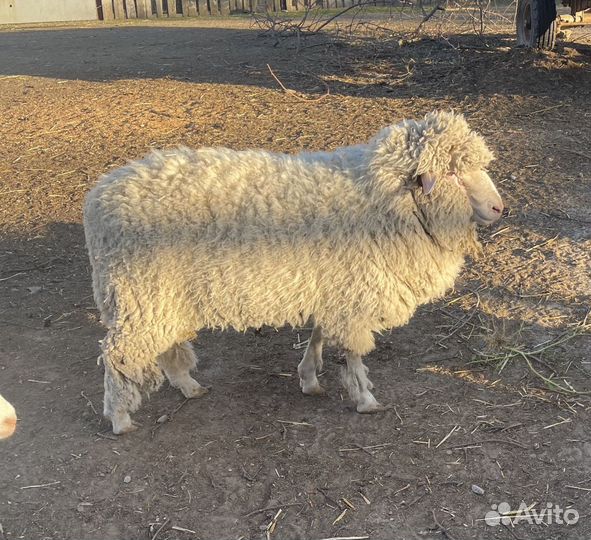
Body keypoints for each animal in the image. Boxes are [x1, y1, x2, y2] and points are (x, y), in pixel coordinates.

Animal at [84, 109, 504, 434]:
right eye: (452, 173)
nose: (500, 208)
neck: (380, 200)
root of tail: (99, 197)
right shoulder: (354, 296)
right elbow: (353, 352)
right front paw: (365, 398)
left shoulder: (333, 288)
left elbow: (318, 334)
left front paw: (309, 376)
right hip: (139, 293)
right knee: (118, 354)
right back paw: (119, 418)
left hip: (163, 298)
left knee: (165, 345)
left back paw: (188, 385)